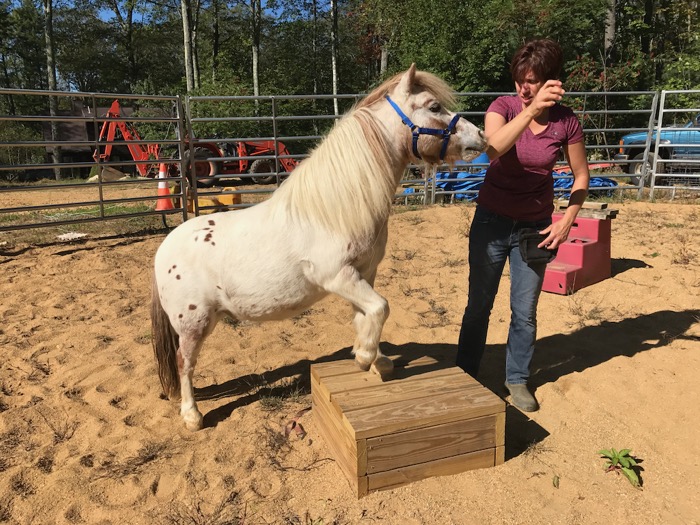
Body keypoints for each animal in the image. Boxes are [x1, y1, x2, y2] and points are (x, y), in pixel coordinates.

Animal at [152, 64, 486, 430]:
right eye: (434, 106)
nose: (480, 136)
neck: (334, 210)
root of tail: (163, 251)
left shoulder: (364, 274)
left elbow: (368, 316)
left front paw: (376, 359)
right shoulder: (337, 276)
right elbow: (381, 308)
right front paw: (365, 357)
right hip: (194, 324)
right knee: (184, 362)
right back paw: (192, 415)